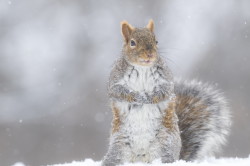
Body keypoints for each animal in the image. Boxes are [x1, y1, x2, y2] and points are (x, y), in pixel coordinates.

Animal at [101, 19, 230, 166]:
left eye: (156, 41)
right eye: (132, 43)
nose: (150, 54)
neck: (142, 68)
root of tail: (141, 159)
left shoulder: (166, 81)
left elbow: (164, 91)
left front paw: (149, 98)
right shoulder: (115, 80)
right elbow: (118, 91)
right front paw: (137, 96)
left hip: (165, 145)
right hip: (118, 147)